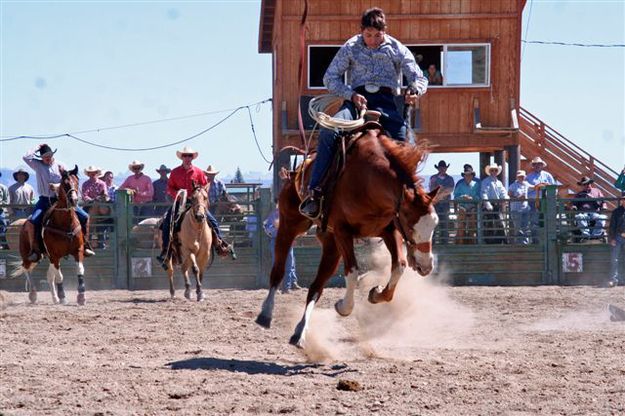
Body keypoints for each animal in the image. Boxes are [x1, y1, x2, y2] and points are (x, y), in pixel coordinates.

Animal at [11, 166, 89, 306]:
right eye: (65, 183)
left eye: (77, 182)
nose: (74, 200)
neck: (65, 224)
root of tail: (24, 223)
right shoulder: (55, 255)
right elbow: (59, 276)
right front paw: (63, 297)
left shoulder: (78, 250)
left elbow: (80, 270)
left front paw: (81, 296)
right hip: (28, 254)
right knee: (27, 268)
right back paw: (33, 294)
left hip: (49, 257)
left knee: (49, 275)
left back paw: (54, 298)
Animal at [256, 127, 442, 348]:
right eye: (411, 224)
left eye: (435, 224)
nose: (426, 265)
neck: (368, 180)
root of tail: (297, 170)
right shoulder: (343, 231)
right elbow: (352, 272)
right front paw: (343, 306)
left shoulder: (390, 231)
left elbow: (399, 266)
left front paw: (376, 293)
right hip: (290, 224)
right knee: (278, 271)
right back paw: (266, 314)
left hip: (331, 244)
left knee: (316, 287)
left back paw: (300, 332)